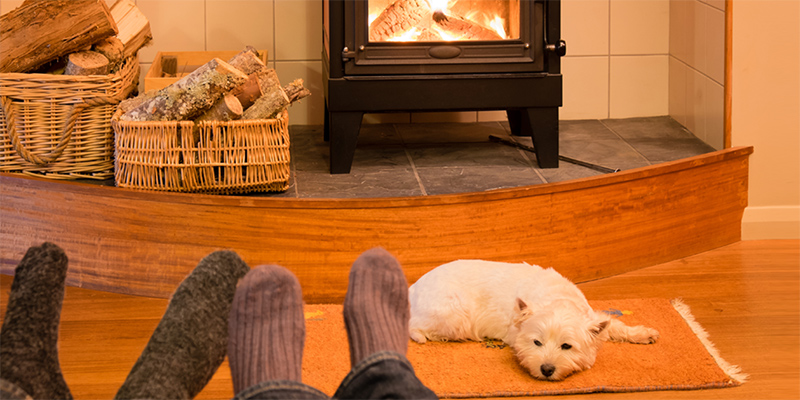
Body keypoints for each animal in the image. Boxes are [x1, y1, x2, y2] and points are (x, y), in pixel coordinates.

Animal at [410, 260, 660, 382]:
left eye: (566, 346)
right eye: (536, 343)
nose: (546, 369)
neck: (558, 299)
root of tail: (413, 287)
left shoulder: (594, 317)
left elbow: (614, 325)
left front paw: (644, 333)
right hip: (454, 314)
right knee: (417, 327)